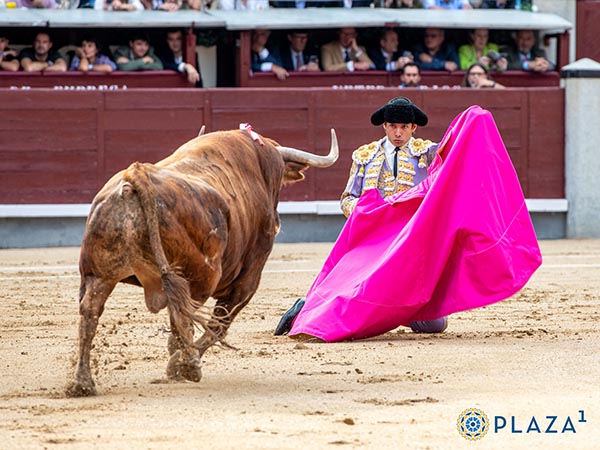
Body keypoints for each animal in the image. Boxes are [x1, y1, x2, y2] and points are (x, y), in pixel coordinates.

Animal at [67, 125, 338, 396]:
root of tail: (136, 176)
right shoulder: (248, 280)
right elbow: (219, 323)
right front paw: (181, 364)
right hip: (198, 276)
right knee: (185, 317)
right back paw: (189, 365)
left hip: (99, 274)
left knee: (90, 312)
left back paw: (82, 383)